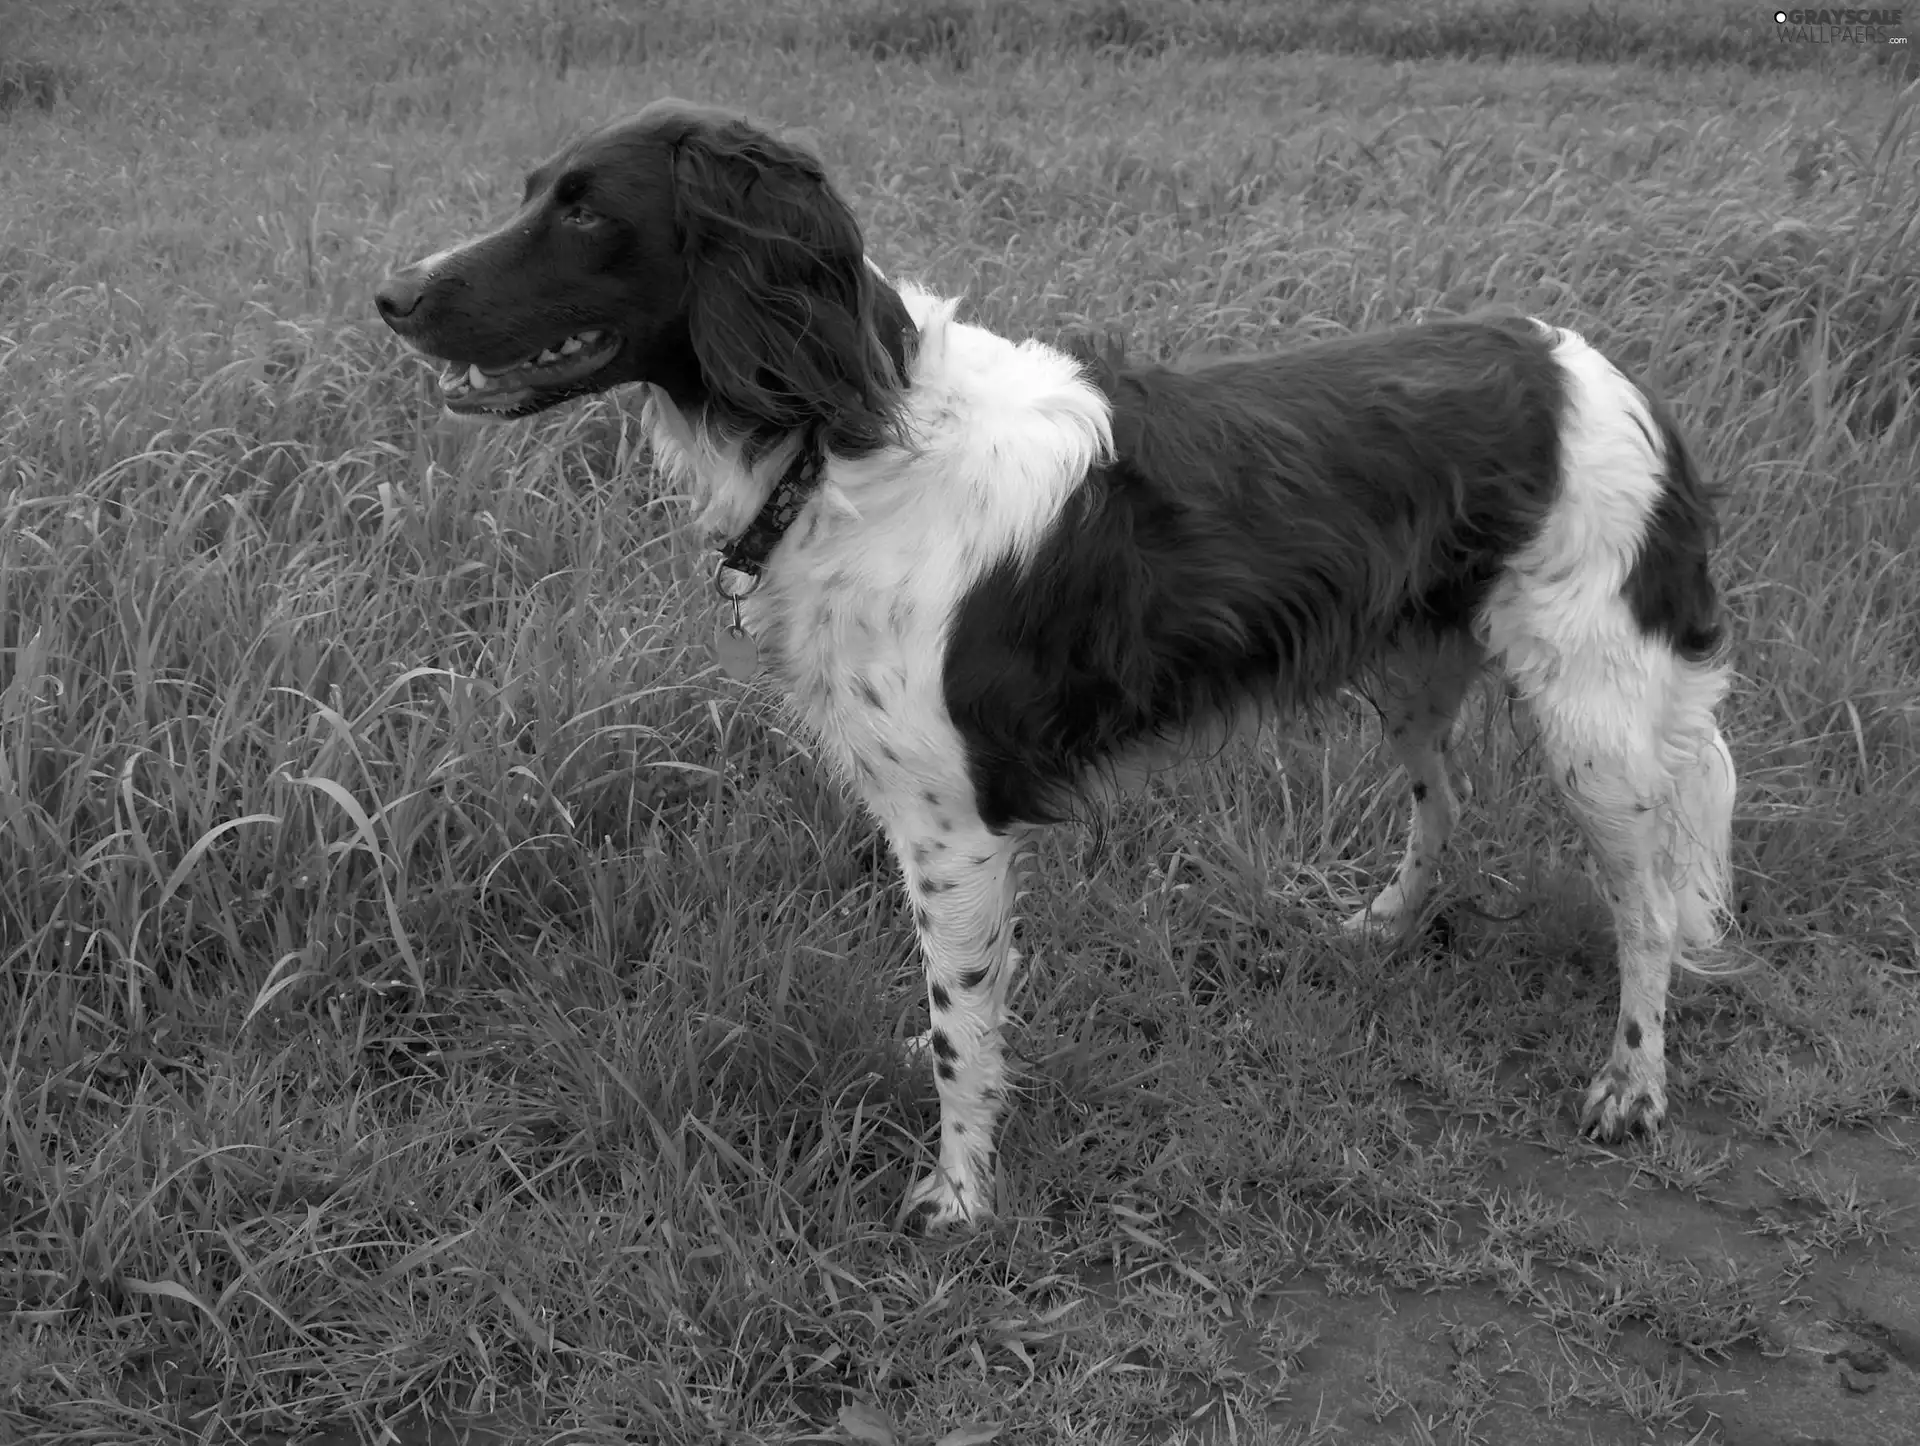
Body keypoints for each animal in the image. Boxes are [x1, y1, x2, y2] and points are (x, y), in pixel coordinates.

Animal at [378, 98, 1743, 1229]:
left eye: (586, 208)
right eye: (533, 188)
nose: (392, 293)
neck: (847, 440)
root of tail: (1599, 370)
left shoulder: (952, 824)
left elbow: (958, 1026)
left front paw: (958, 1198)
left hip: (1595, 716)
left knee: (1647, 908)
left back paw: (1633, 1084)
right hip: (1408, 670)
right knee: (1449, 800)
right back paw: (1386, 926)